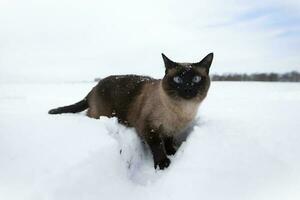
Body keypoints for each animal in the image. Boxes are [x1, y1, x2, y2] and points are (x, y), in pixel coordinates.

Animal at [48, 52, 213, 169]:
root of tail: (94, 88)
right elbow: (157, 146)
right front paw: (162, 163)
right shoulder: (149, 128)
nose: (188, 88)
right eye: (178, 80)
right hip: (102, 114)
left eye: (196, 79)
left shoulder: (169, 130)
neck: (181, 111)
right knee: (88, 114)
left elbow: (167, 142)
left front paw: (173, 152)